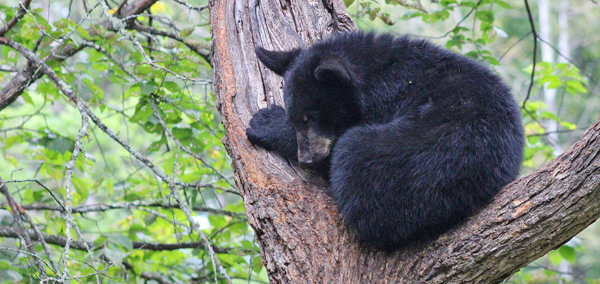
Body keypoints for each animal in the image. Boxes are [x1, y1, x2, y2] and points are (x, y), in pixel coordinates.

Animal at [246, 31, 524, 253]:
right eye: (297, 118)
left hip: (419, 161)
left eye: (313, 116)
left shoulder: (387, 100)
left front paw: (265, 123)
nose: (307, 157)